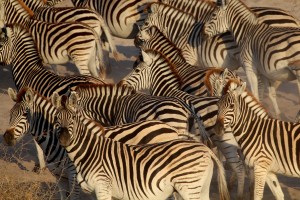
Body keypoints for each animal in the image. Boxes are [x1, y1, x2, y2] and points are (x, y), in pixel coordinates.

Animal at [0, 23, 104, 175]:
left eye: (0, 44)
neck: (29, 73)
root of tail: (99, 83)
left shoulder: (34, 112)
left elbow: (37, 141)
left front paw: (41, 167)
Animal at [4, 87, 188, 200]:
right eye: (11, 113)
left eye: (26, 114)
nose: (6, 137)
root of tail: (171, 129)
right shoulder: (60, 177)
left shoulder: (74, 175)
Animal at [51, 90, 230, 200]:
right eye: (56, 119)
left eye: (73, 119)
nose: (64, 139)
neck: (89, 151)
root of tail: (205, 149)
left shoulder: (103, 186)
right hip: (200, 186)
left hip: (189, 186)